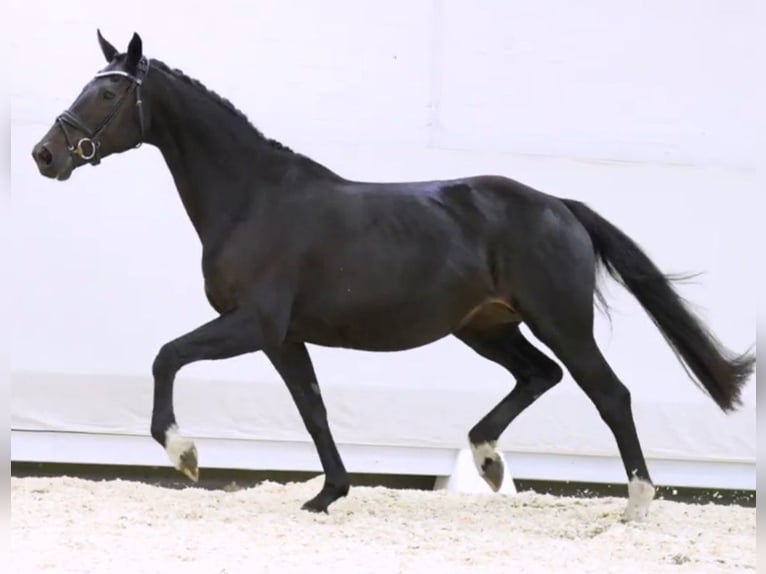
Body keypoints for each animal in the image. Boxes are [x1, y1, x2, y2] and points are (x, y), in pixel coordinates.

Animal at [31, 33, 756, 524]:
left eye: (106, 92)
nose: (45, 154)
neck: (253, 198)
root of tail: (559, 205)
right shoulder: (284, 337)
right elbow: (313, 408)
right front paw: (327, 494)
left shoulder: (254, 323)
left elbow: (166, 356)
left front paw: (183, 453)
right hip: (485, 327)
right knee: (538, 376)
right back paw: (488, 459)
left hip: (561, 322)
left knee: (610, 394)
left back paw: (636, 503)